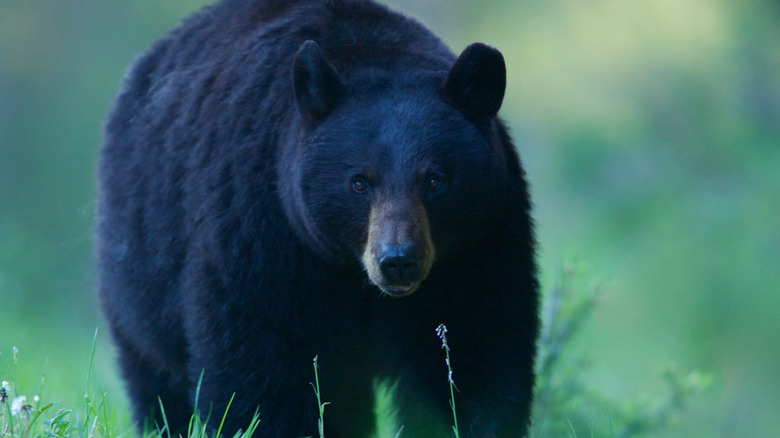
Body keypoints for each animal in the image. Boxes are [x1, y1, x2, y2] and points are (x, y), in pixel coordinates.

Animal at [96, 0, 536, 436]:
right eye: (359, 182)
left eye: (434, 180)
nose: (397, 260)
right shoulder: (261, 229)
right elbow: (264, 364)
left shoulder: (477, 246)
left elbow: (470, 355)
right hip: (139, 268)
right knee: (157, 379)